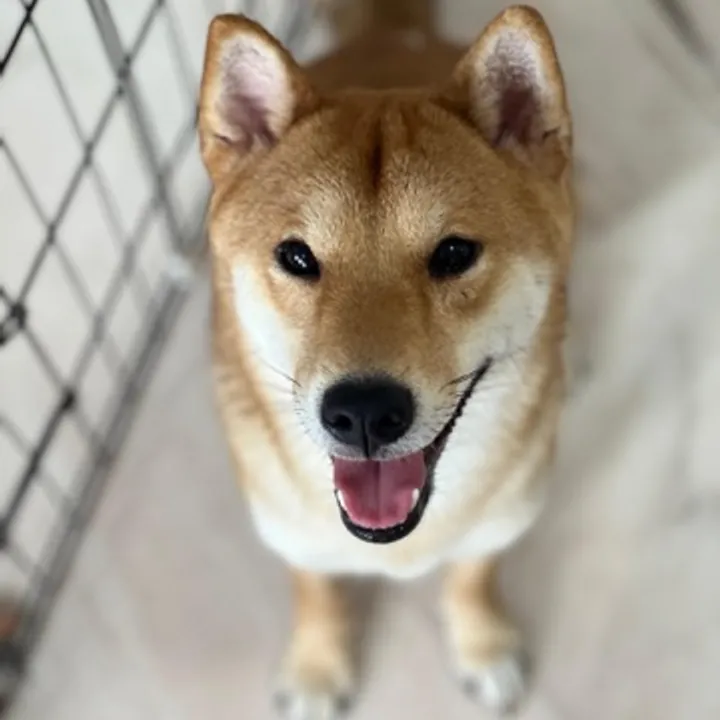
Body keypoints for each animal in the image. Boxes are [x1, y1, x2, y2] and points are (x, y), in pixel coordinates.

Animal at [198, 3, 574, 716]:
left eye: (454, 254)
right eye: (296, 257)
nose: (364, 412)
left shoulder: (502, 520)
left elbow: (471, 578)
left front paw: (482, 644)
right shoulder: (290, 531)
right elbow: (315, 592)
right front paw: (317, 669)